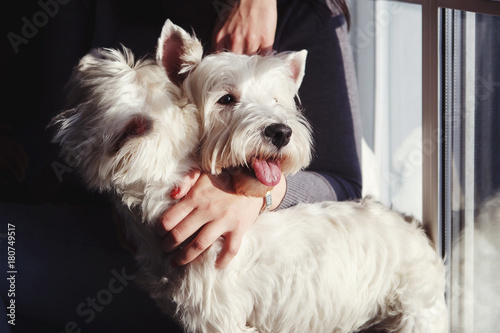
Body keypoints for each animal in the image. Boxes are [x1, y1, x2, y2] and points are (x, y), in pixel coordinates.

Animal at [51, 20, 450, 332]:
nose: (281, 132)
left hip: (416, 311)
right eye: (226, 99)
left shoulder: (221, 318)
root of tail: (416, 229)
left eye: (277, 101)